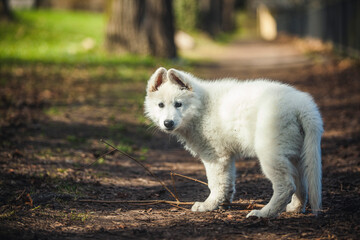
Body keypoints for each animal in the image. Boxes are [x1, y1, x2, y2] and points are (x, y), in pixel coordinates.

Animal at [143, 67, 324, 218]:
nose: (168, 123)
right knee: (301, 184)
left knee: (286, 186)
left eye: (178, 104)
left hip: (270, 153)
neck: (201, 108)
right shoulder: (226, 157)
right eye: (160, 105)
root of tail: (302, 106)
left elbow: (215, 183)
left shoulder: (215, 156)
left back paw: (264, 213)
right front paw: (223, 203)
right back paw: (295, 208)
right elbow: (227, 182)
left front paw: (208, 205)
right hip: (296, 154)